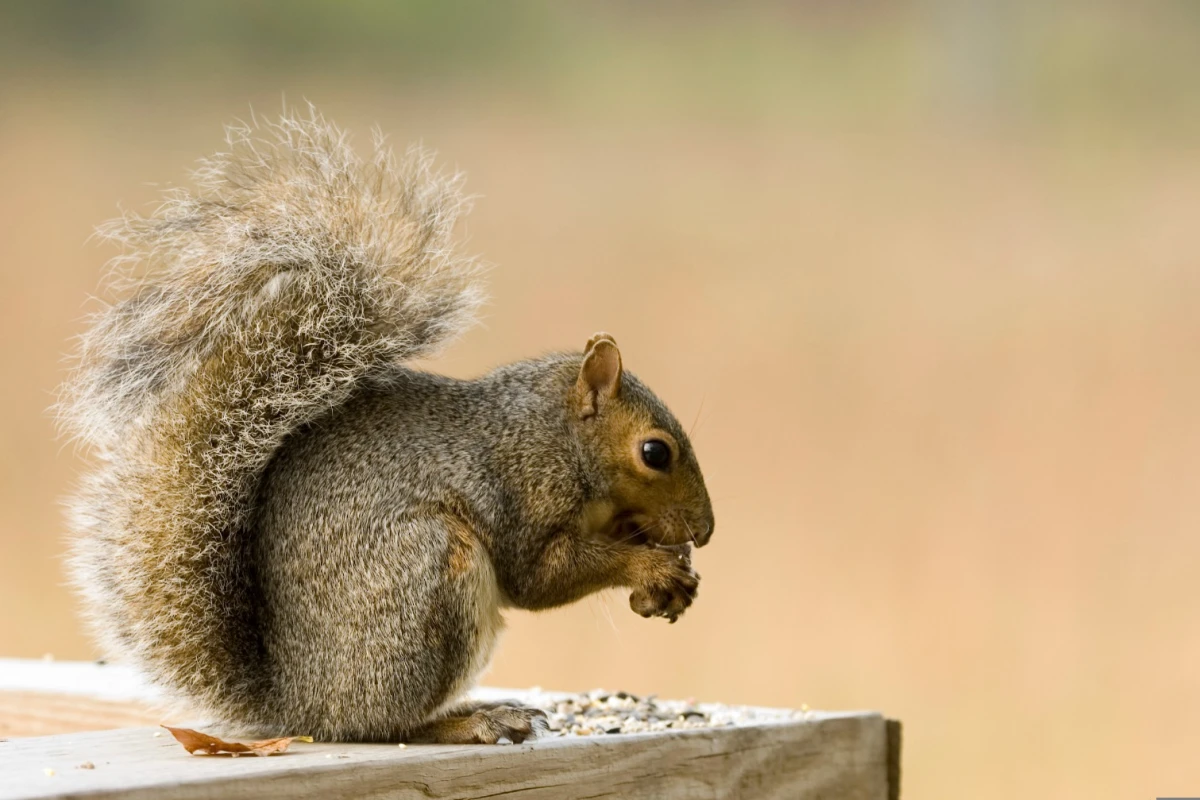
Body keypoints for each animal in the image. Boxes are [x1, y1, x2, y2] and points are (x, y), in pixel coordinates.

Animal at [58, 108, 714, 744]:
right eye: (655, 452)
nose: (705, 531)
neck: (557, 437)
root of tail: (299, 705)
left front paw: (671, 564)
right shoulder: (522, 490)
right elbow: (539, 578)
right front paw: (651, 566)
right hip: (431, 577)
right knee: (386, 724)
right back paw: (469, 721)